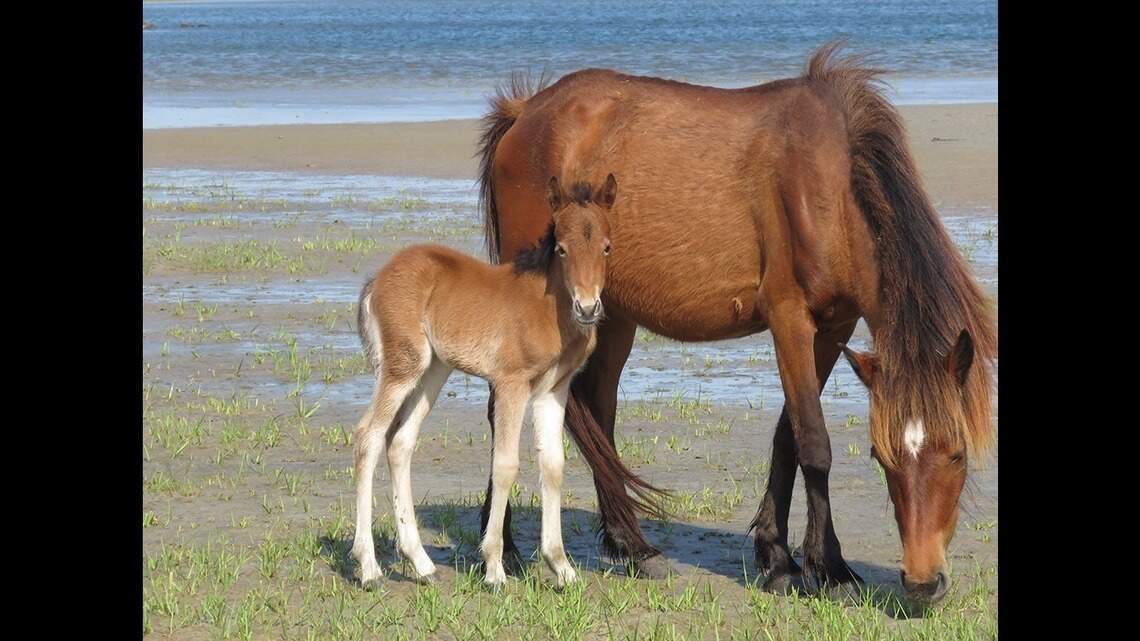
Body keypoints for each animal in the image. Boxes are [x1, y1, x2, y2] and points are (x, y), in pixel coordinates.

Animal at [351, 174, 618, 589]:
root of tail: (377, 278)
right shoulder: (511, 384)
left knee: (400, 442)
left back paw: (422, 564)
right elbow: (505, 465)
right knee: (369, 436)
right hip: (403, 366)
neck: (548, 307)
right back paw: (369, 568)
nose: (588, 308)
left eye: (606, 247)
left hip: (433, 370)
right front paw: (494, 568)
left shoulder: (554, 391)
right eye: (561, 249)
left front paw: (562, 568)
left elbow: (553, 465)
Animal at [475, 43, 996, 605]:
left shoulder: (835, 328)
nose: (924, 584)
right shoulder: (790, 320)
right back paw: (503, 547)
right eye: (881, 456)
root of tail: (525, 112)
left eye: (958, 454)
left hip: (611, 315)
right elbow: (814, 443)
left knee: (598, 411)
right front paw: (819, 567)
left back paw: (632, 547)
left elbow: (788, 436)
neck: (830, 184)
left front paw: (780, 554)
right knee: (503, 409)